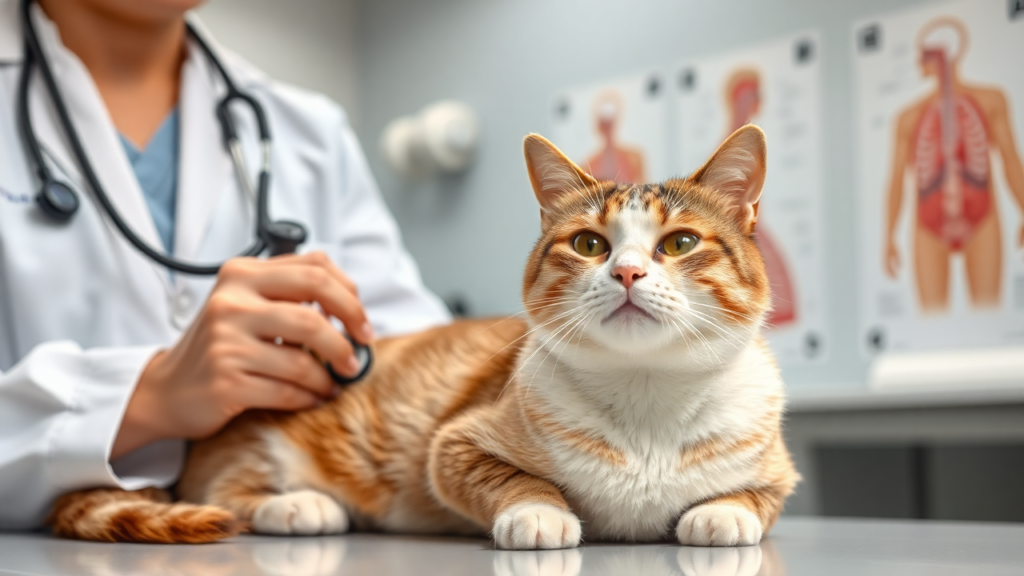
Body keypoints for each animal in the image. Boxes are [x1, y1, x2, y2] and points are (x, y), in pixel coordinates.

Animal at [49, 125, 798, 545]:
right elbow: (514, 479)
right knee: (226, 491)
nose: (629, 271)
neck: (647, 399)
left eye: (679, 243)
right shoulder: (455, 443)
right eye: (589, 243)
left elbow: (757, 498)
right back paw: (301, 504)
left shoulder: (776, 468)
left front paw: (726, 512)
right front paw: (539, 511)